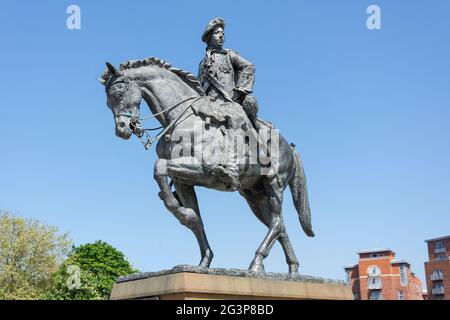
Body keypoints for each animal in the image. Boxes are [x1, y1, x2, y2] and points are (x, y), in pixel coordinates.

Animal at [100, 57, 314, 276]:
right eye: (108, 102)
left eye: (118, 95)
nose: (122, 130)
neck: (182, 119)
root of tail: (290, 147)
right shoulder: (183, 181)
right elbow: (196, 220)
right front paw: (203, 260)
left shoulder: (204, 171)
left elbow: (159, 168)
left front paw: (183, 213)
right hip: (254, 195)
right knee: (279, 226)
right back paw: (291, 269)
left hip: (273, 185)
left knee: (277, 223)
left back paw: (256, 262)